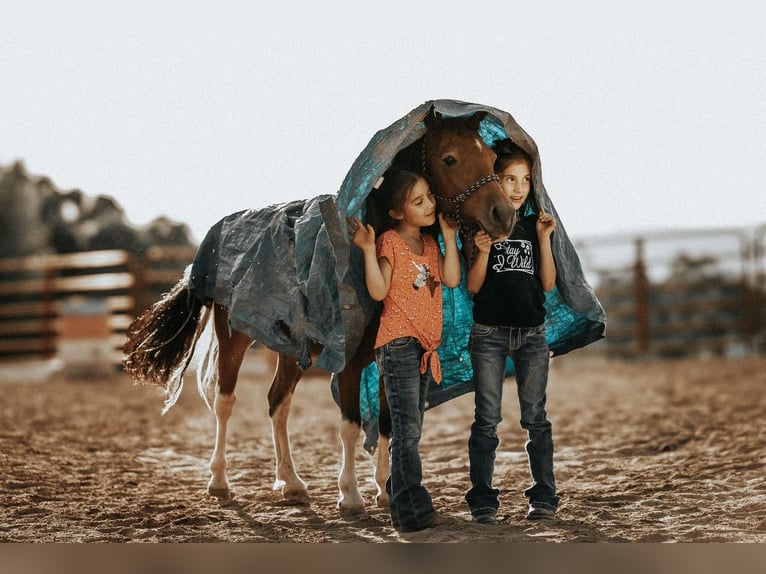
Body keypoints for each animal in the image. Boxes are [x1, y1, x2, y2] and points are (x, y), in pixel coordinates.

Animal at [123, 104, 516, 516]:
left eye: (492, 158)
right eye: (450, 158)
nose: (502, 215)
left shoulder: (384, 355)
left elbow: (387, 422)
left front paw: (385, 490)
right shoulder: (350, 360)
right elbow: (350, 424)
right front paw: (351, 495)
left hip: (293, 350)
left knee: (277, 402)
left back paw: (291, 482)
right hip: (235, 338)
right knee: (225, 402)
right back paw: (219, 481)